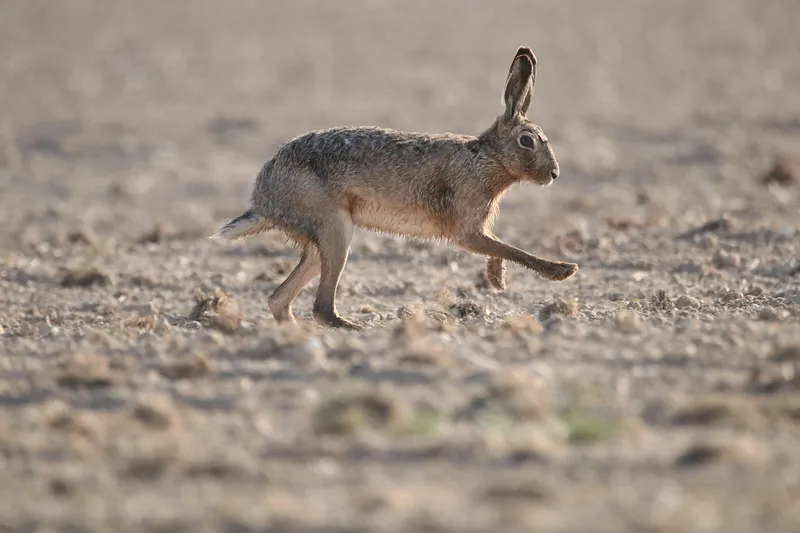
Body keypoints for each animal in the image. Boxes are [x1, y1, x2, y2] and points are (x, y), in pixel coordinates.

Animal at [211, 46, 578, 330]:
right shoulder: (467, 230)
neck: (486, 157)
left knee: (280, 298)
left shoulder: (478, 229)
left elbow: (500, 249)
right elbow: (511, 249)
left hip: (321, 243)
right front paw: (562, 271)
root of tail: (263, 198)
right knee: (321, 307)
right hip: (334, 228)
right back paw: (352, 329)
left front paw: (497, 279)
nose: (554, 174)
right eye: (527, 141)